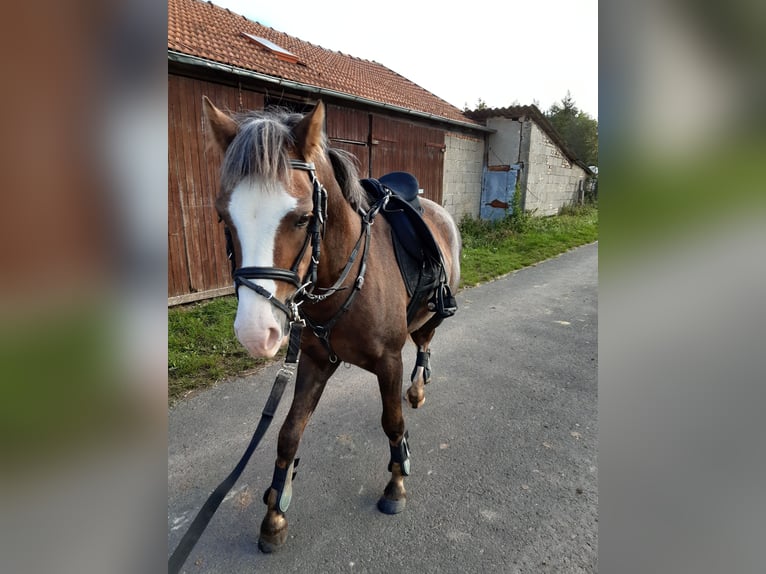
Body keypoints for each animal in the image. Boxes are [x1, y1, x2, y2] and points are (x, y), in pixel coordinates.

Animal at [201, 97, 461, 552]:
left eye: (303, 218)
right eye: (223, 217)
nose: (256, 332)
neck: (343, 275)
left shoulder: (389, 361)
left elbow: (392, 422)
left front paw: (396, 482)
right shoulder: (315, 362)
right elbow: (288, 434)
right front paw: (275, 512)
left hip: (430, 314)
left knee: (425, 343)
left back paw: (417, 388)